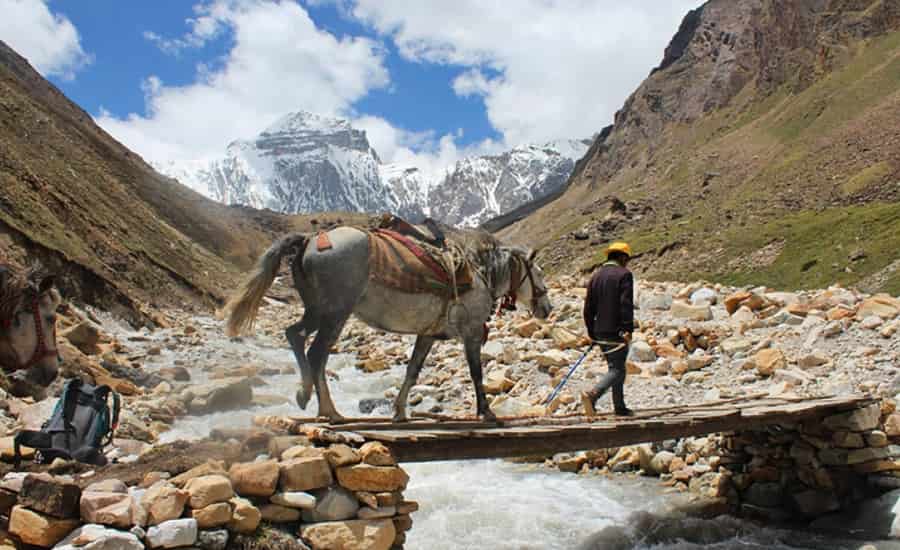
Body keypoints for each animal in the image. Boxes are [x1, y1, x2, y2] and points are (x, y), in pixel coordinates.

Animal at [225, 224, 552, 422]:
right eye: (537, 272)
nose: (547, 308)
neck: (480, 275)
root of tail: (309, 241)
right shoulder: (471, 333)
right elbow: (476, 373)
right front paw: (487, 413)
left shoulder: (427, 335)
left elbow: (412, 371)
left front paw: (399, 412)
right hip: (335, 313)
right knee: (316, 353)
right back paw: (329, 410)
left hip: (316, 311)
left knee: (294, 335)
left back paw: (307, 396)